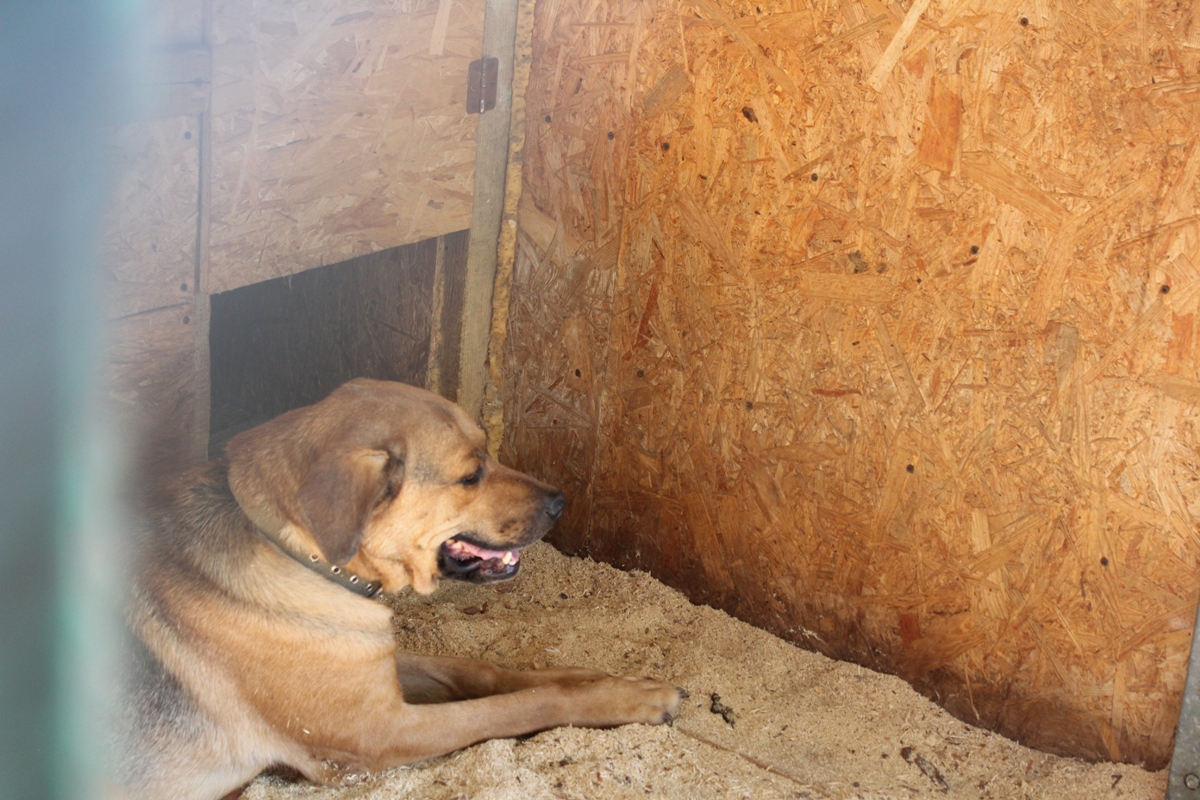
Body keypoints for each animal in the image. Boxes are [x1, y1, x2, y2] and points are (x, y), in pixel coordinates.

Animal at [119, 381, 686, 800]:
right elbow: (522, 707)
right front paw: (625, 698)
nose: (561, 503)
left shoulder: (375, 664)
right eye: (471, 475)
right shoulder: (381, 732)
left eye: (489, 452)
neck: (298, 554)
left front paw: (597, 677)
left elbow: (486, 670)